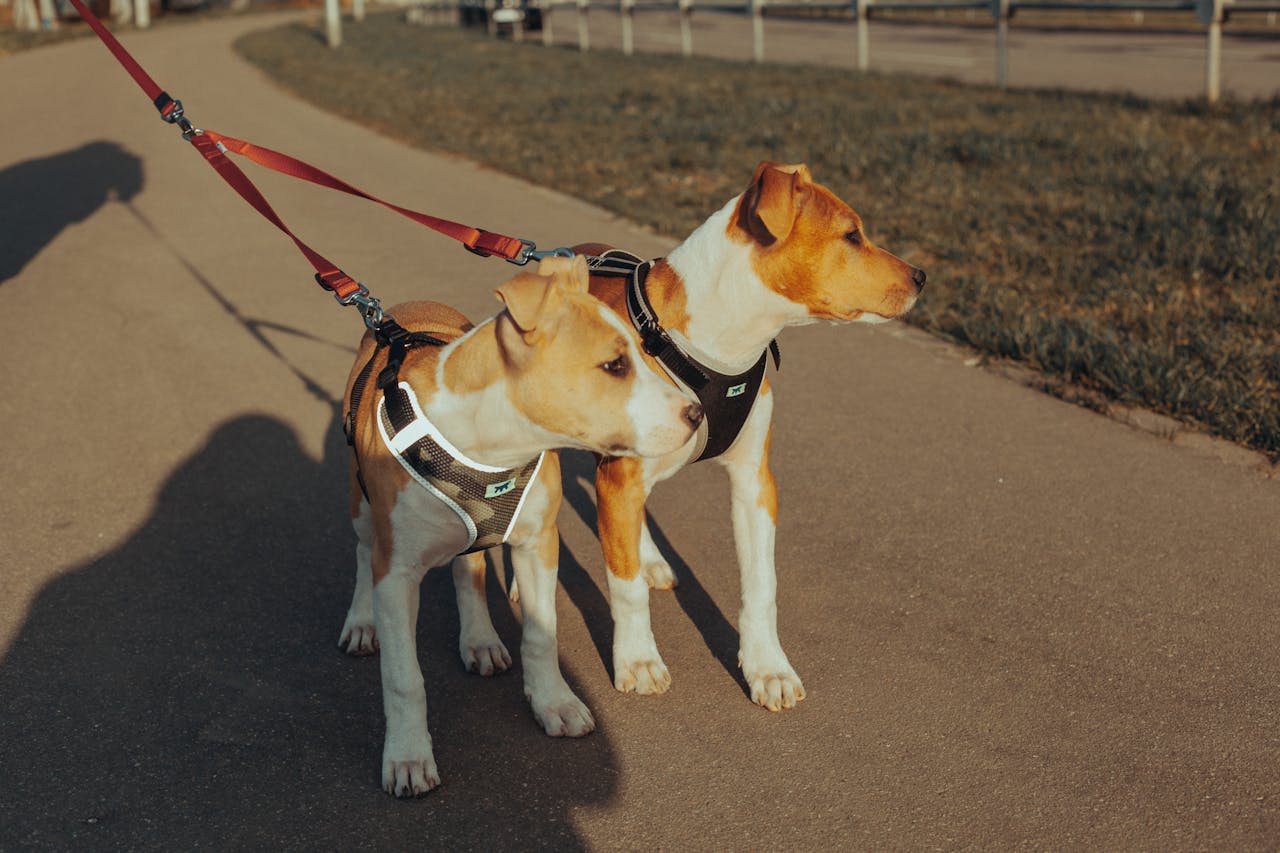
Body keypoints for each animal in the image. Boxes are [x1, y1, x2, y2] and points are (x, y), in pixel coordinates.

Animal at [335, 253, 706, 799]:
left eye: (643, 354)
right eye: (614, 366)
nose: (696, 413)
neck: (490, 443)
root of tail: (400, 310)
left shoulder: (537, 545)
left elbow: (540, 635)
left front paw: (553, 703)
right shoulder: (397, 572)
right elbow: (404, 678)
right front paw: (407, 756)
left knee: (469, 569)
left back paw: (480, 639)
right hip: (362, 509)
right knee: (363, 554)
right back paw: (362, 622)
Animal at [460, 159, 921, 712]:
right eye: (852, 236)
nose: (922, 277)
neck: (717, 345)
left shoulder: (754, 482)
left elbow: (761, 585)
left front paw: (768, 668)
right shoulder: (622, 477)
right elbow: (626, 589)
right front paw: (637, 661)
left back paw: (650, 558)